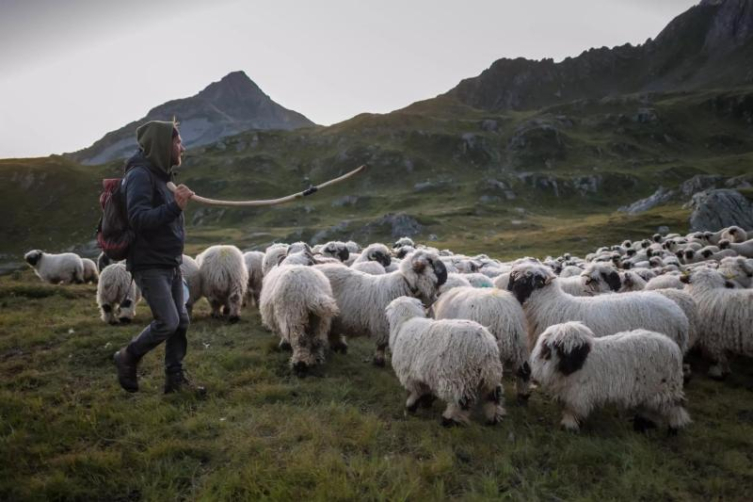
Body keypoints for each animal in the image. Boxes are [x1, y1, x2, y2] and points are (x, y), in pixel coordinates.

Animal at [312, 250, 444, 364]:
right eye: (430, 262)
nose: (444, 274)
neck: (406, 285)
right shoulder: (383, 323)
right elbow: (382, 344)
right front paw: (379, 360)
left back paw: (339, 347)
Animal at [388, 296, 506, 426]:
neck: (406, 322)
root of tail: (484, 344)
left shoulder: (409, 374)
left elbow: (416, 391)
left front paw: (411, 406)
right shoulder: (425, 373)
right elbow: (425, 390)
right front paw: (426, 402)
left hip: (458, 375)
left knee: (461, 400)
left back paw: (449, 420)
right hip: (490, 373)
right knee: (494, 394)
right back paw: (493, 418)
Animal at [524, 324, 692, 434]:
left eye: (577, 351)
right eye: (559, 348)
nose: (571, 365)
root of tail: (674, 349)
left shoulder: (578, 395)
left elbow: (572, 412)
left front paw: (569, 427)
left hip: (665, 388)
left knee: (674, 409)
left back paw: (673, 429)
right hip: (652, 391)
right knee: (652, 409)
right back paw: (643, 425)